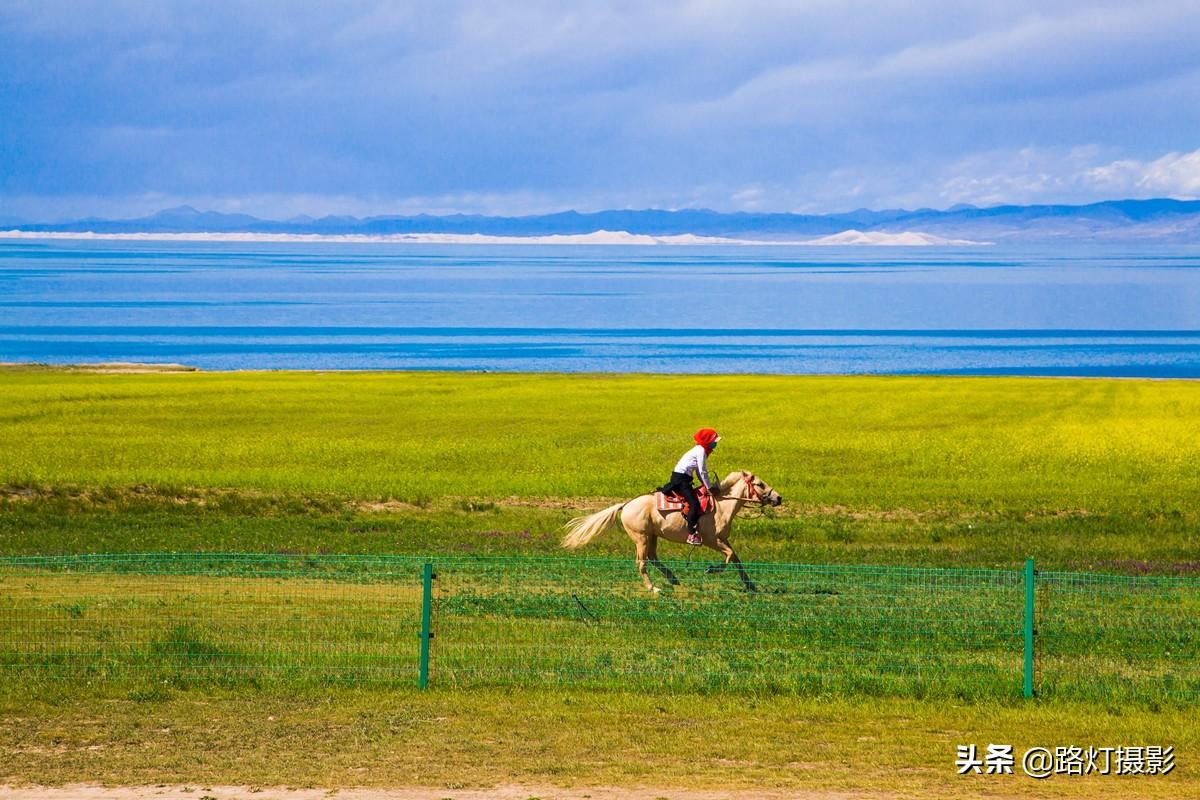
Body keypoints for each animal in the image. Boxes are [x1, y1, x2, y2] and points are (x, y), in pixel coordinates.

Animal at [559, 470, 782, 594]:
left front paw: (751, 586)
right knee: (642, 562)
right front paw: (710, 569)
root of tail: (626, 505)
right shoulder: (712, 540)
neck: (722, 506)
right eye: (760, 484)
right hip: (641, 537)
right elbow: (728, 558)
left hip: (652, 537)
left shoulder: (723, 540)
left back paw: (672, 579)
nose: (778, 498)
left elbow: (736, 559)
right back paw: (654, 588)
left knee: (652, 557)